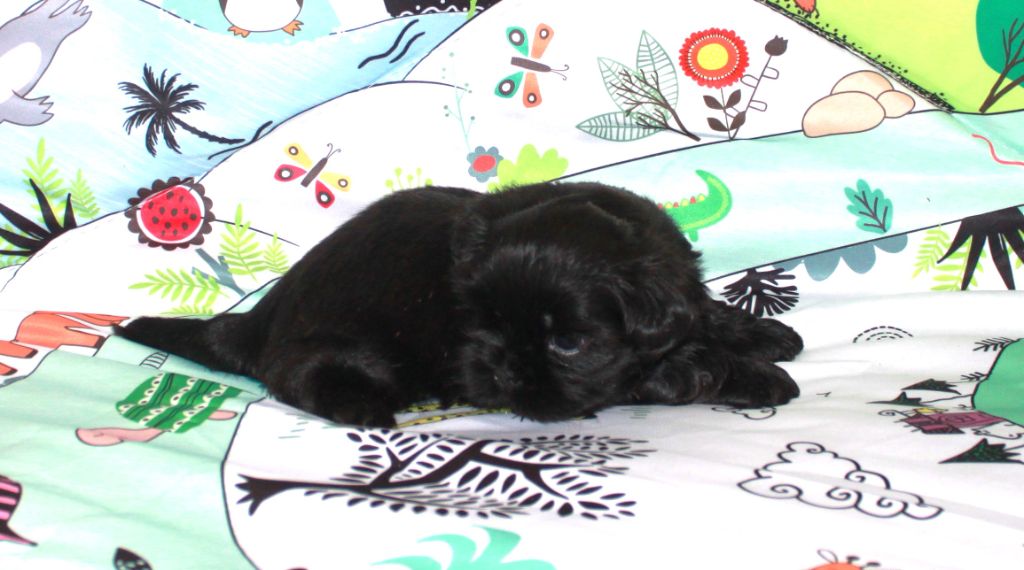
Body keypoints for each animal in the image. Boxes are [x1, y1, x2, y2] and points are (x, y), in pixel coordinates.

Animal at [117, 182, 802, 426]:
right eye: (483, 324)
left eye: (566, 342)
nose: (499, 372)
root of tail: (258, 319)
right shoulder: (625, 379)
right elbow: (677, 372)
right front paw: (756, 377)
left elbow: (704, 314)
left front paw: (760, 335)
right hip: (339, 351)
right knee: (297, 378)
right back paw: (366, 408)